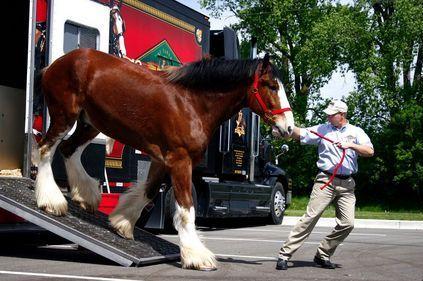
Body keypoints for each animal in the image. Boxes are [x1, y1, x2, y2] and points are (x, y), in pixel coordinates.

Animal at [34, 48, 294, 270]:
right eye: (271, 86)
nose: (289, 127)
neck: (192, 104)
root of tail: (55, 64)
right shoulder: (180, 160)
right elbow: (186, 208)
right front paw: (196, 256)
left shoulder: (162, 160)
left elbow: (149, 192)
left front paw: (122, 223)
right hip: (65, 115)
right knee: (46, 149)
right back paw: (51, 201)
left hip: (90, 122)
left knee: (69, 149)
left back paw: (85, 195)